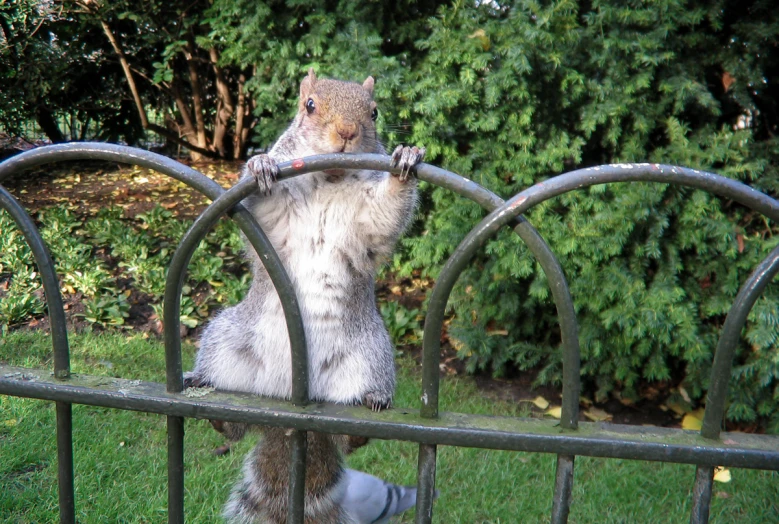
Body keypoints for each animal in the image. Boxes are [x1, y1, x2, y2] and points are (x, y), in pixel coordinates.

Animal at [184, 67, 426, 520]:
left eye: (374, 111)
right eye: (309, 105)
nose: (347, 132)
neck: (330, 179)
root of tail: (289, 404)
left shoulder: (367, 218)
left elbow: (385, 211)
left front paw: (404, 160)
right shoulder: (272, 218)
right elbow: (263, 206)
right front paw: (260, 162)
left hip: (368, 359)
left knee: (349, 436)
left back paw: (370, 408)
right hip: (227, 345)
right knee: (234, 426)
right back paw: (207, 394)